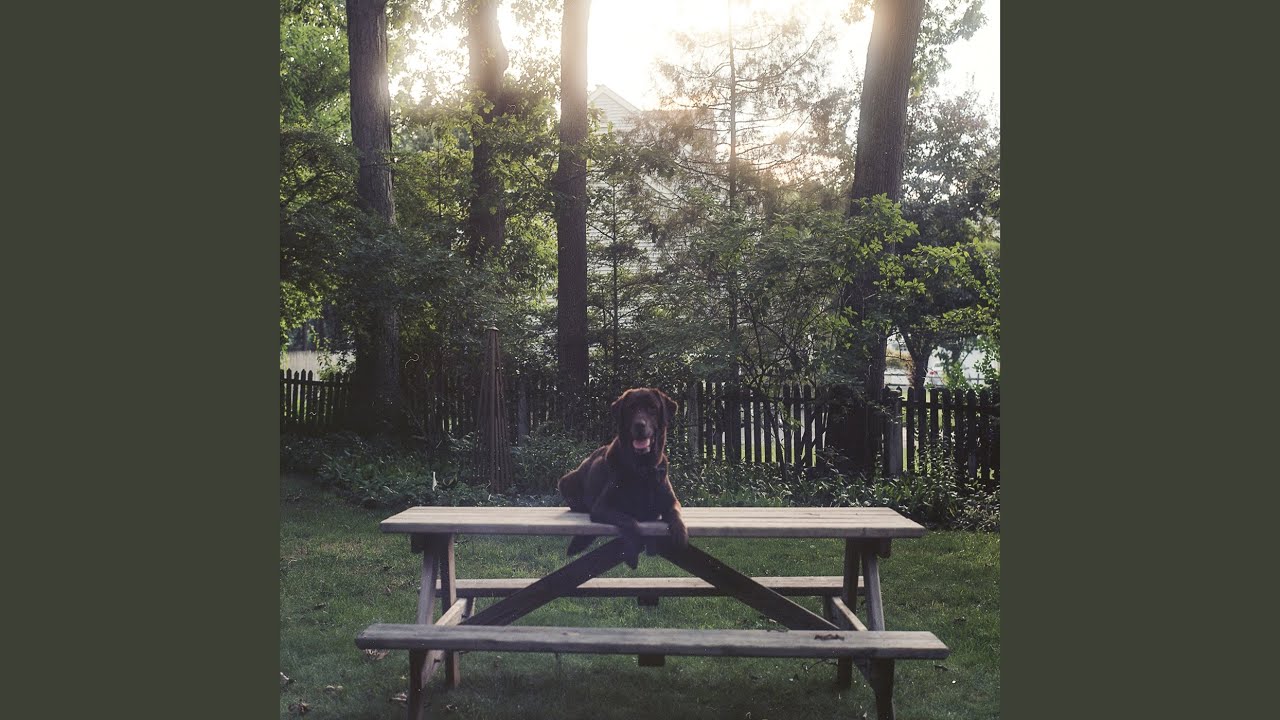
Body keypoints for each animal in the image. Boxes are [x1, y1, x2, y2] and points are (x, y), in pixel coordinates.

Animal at [557, 387, 689, 568]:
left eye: (652, 408)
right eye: (631, 408)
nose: (640, 424)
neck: (642, 469)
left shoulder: (671, 501)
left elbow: (676, 513)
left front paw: (680, 533)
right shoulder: (601, 507)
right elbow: (629, 520)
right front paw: (632, 553)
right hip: (567, 481)